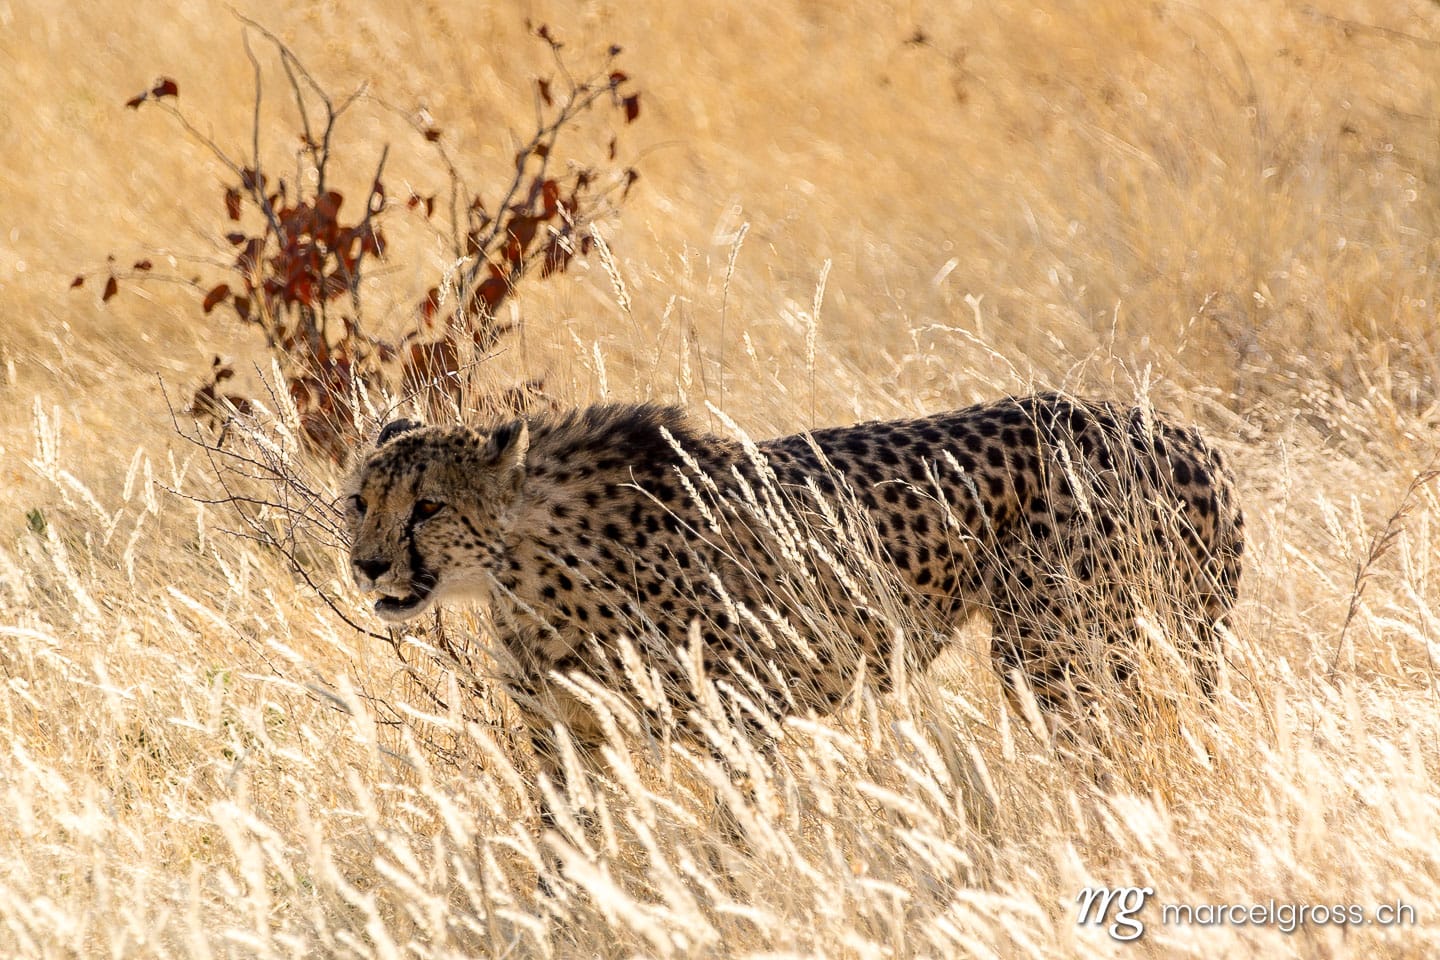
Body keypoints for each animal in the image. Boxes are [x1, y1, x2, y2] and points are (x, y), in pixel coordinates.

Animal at [344, 393, 1243, 807]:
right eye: (360, 501)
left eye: (428, 507)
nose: (366, 565)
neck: (526, 559)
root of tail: (1168, 425)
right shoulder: (569, 736)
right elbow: (569, 850)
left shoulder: (738, 717)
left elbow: (737, 837)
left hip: (1050, 651)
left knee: (1115, 747)